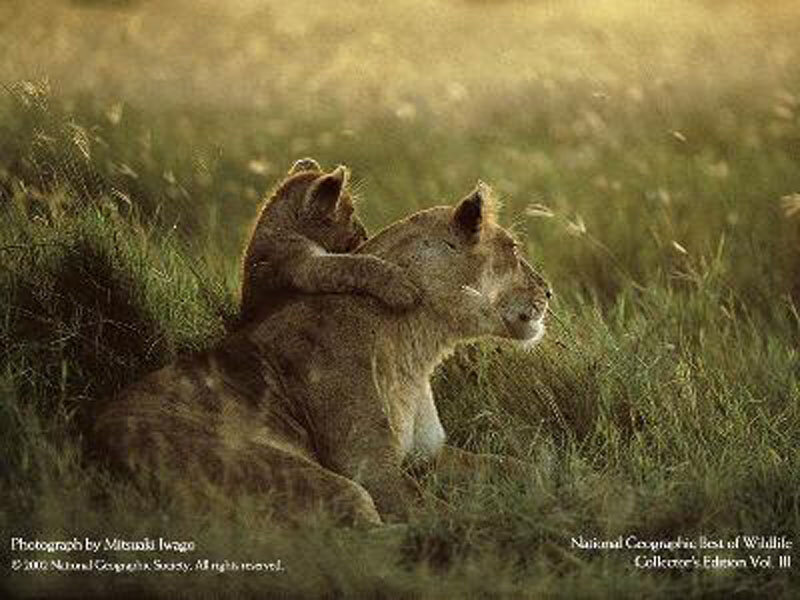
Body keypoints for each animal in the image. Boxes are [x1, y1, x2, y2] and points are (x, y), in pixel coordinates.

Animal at [94, 181, 551, 525]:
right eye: (513, 249)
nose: (549, 292)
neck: (418, 344)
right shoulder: (373, 472)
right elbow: (441, 514)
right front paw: (505, 526)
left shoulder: (429, 455)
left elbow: (515, 466)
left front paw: (555, 481)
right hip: (316, 480)